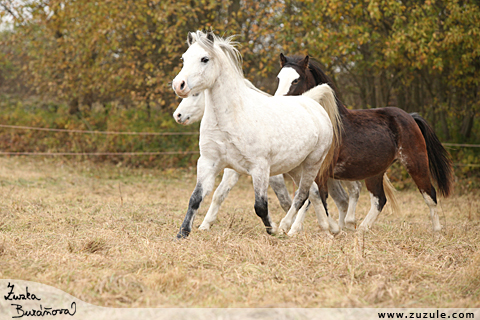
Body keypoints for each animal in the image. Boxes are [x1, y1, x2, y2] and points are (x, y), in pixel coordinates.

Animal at [172, 31, 342, 239]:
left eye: (205, 59)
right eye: (184, 58)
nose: (178, 85)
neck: (232, 118)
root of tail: (311, 102)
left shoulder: (259, 168)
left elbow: (261, 206)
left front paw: (273, 229)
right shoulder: (209, 162)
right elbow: (196, 198)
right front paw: (184, 233)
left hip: (313, 162)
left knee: (302, 195)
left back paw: (287, 227)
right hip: (295, 166)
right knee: (314, 193)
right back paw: (326, 229)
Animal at [276, 53, 452, 231]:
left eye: (296, 80)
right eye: (279, 78)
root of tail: (410, 117)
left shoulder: (320, 171)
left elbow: (310, 197)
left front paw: (290, 228)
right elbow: (311, 196)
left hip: (416, 163)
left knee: (429, 195)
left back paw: (437, 231)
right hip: (375, 171)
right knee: (379, 200)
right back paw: (361, 229)